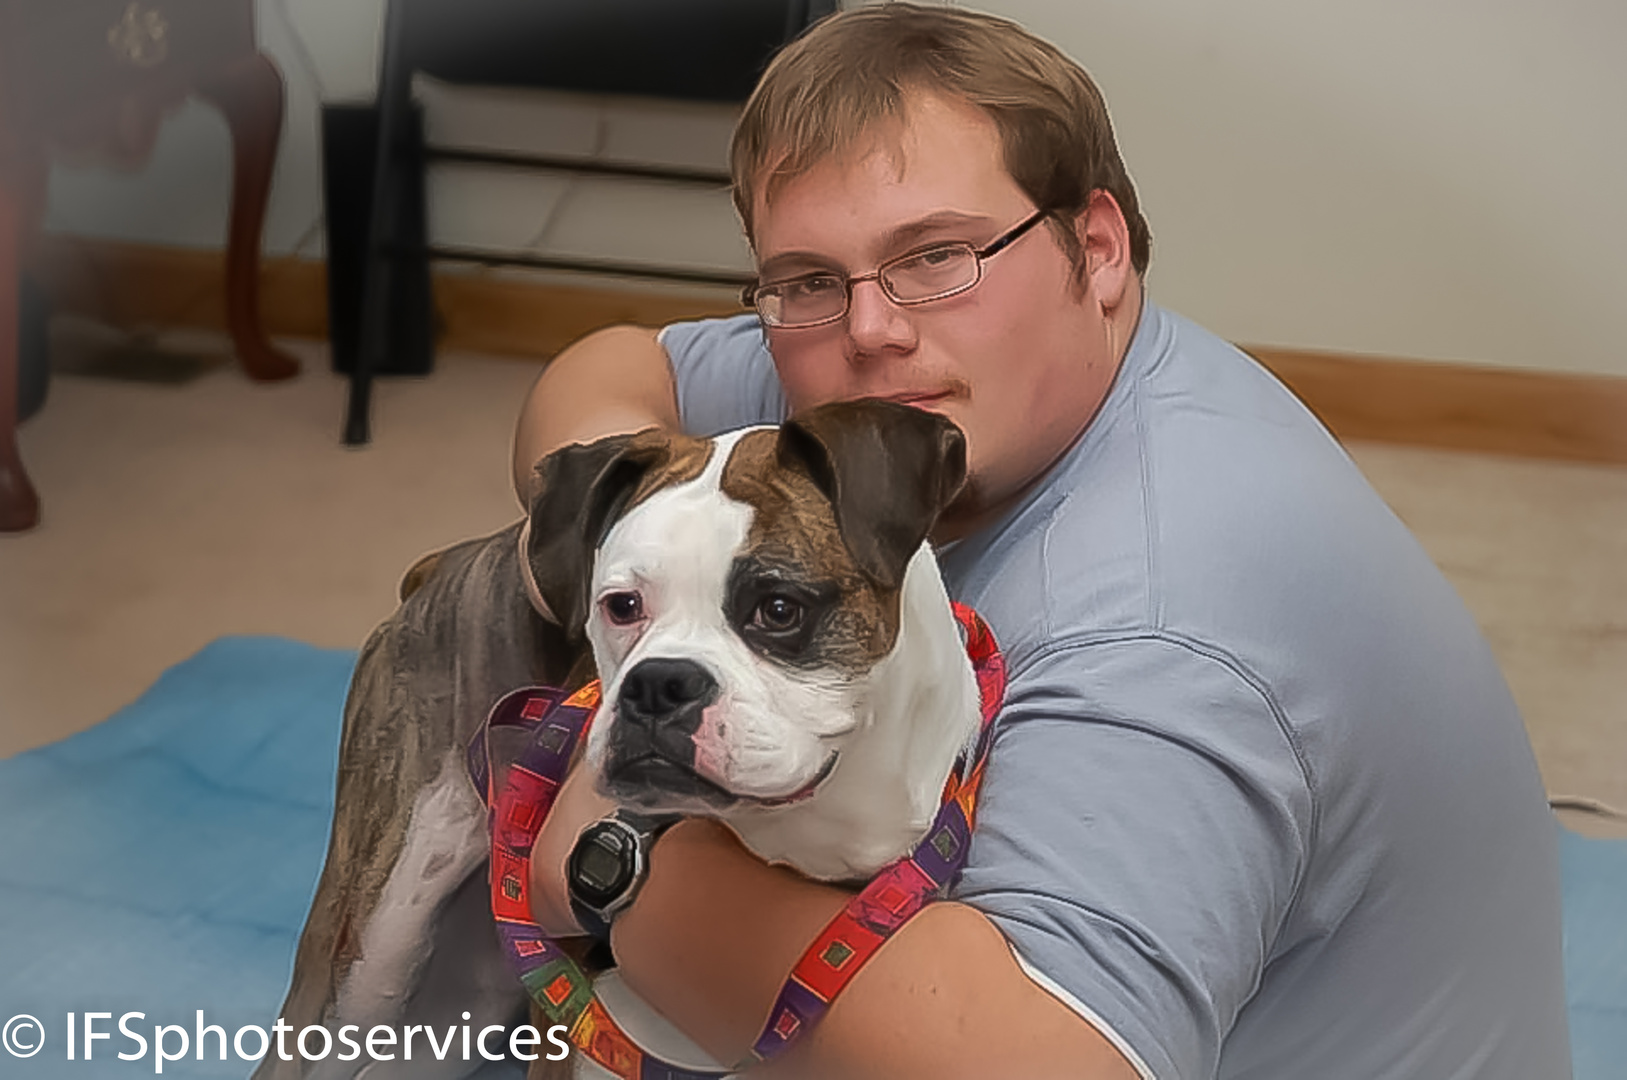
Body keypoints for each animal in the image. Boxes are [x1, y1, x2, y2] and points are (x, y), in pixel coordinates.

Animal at [257, 400, 976, 1080]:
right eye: (621, 606)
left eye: (778, 608)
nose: (657, 684)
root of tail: (450, 561)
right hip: (371, 948)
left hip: (468, 999)